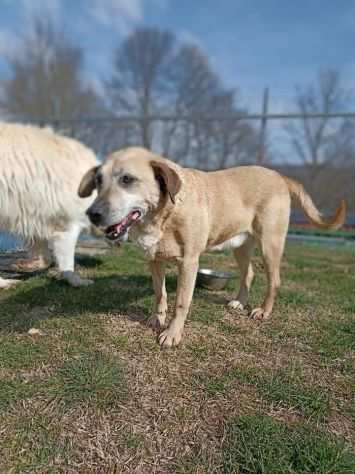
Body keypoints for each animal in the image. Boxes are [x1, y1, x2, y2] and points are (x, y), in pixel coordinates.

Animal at [0, 122, 97, 286]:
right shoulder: (67, 220)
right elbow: (66, 254)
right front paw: (77, 280)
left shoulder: (34, 214)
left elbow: (41, 247)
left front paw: (28, 264)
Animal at [78, 148, 348, 348]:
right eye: (98, 181)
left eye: (127, 179)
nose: (92, 214)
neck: (164, 214)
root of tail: (279, 176)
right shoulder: (154, 260)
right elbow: (159, 293)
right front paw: (157, 318)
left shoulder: (189, 263)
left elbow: (181, 303)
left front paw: (172, 334)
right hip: (241, 246)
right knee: (249, 273)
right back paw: (239, 302)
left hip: (270, 245)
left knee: (275, 281)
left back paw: (263, 311)